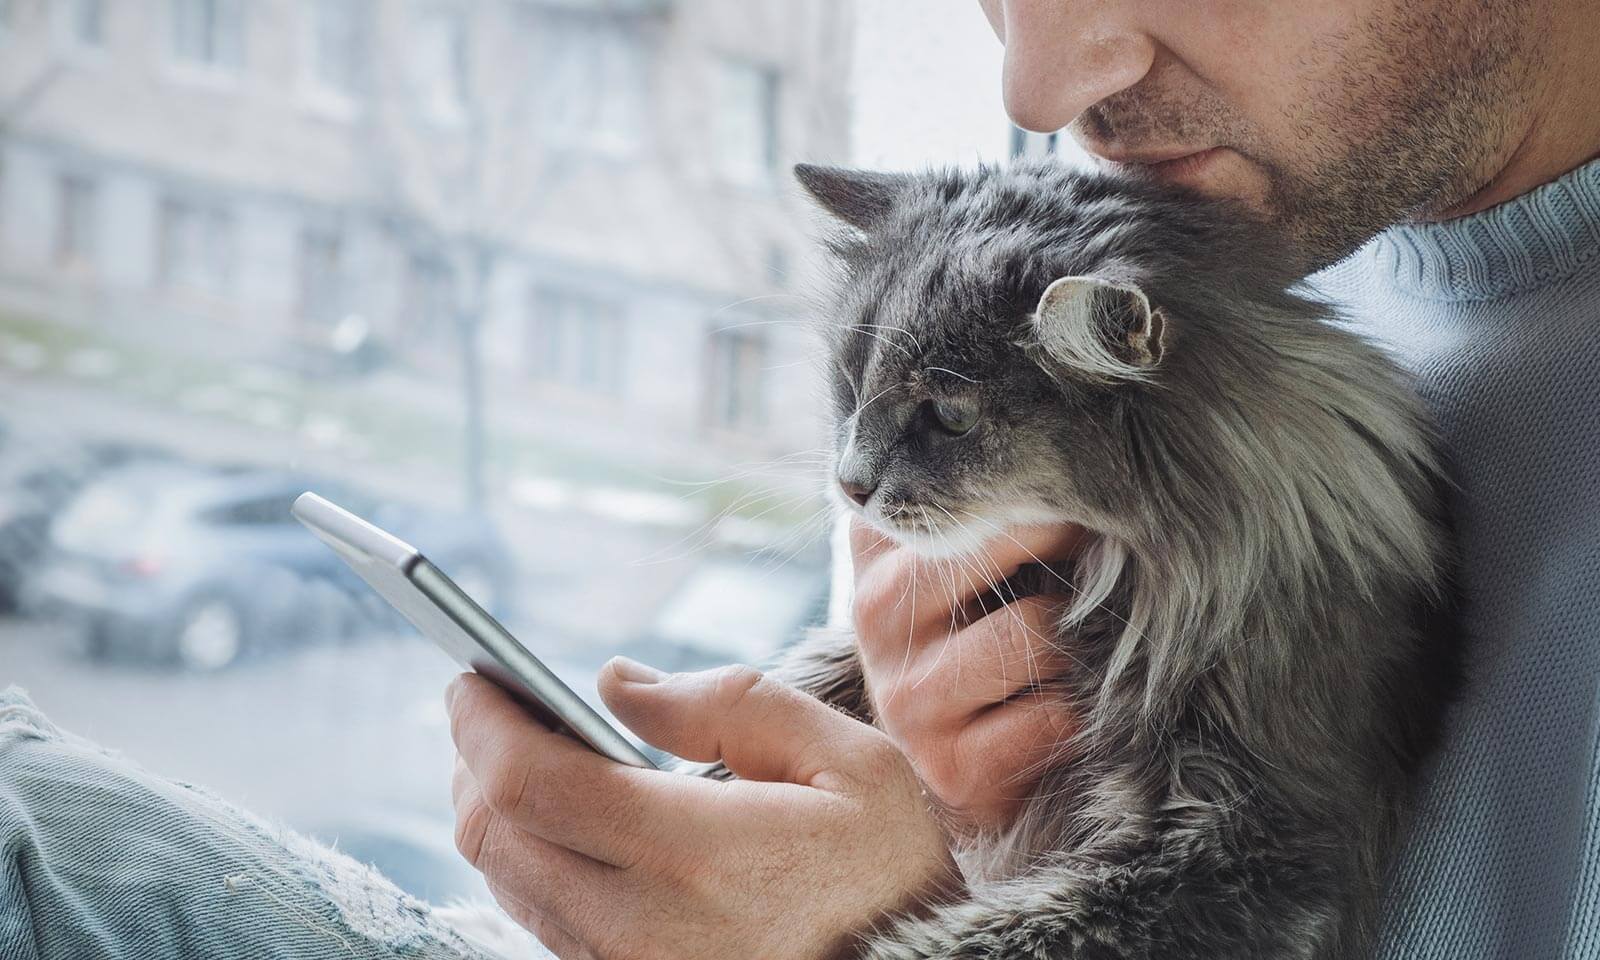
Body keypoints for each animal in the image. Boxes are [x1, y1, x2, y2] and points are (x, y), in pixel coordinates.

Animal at [713, 159, 1465, 960]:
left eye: (949, 417)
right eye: (851, 387)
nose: (850, 486)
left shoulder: (1252, 845)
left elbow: (980, 938)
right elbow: (817, 667)